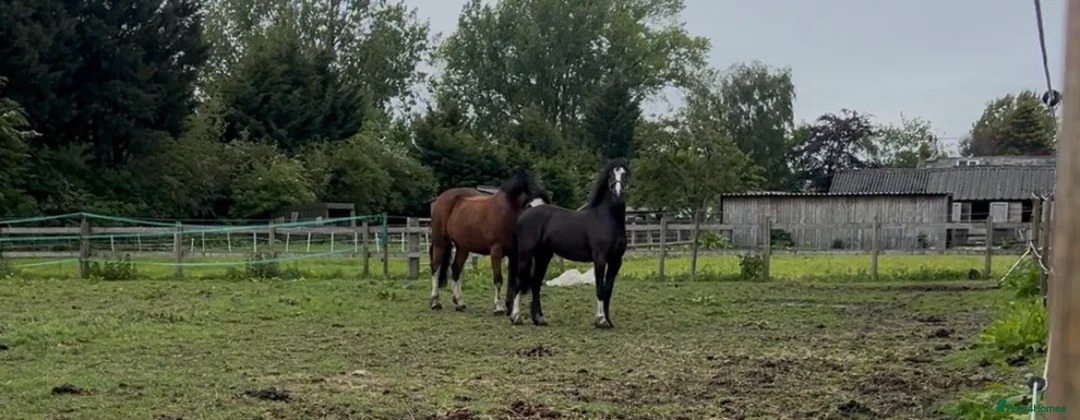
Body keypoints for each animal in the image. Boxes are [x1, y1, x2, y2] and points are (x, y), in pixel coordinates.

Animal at [428, 171, 547, 314]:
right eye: (529, 207)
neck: (508, 214)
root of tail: (440, 199)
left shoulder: (513, 254)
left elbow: (512, 281)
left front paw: (510, 306)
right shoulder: (496, 251)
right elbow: (498, 279)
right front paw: (498, 307)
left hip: (462, 247)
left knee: (456, 269)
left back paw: (459, 303)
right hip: (440, 242)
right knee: (436, 268)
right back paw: (435, 302)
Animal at [506, 158, 629, 328]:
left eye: (625, 174)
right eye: (611, 175)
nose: (617, 195)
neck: (606, 220)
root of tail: (524, 214)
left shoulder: (616, 260)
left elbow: (608, 290)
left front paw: (608, 321)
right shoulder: (600, 259)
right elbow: (599, 288)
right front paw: (600, 320)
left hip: (543, 256)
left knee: (535, 284)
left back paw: (539, 319)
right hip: (525, 254)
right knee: (520, 281)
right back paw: (516, 317)